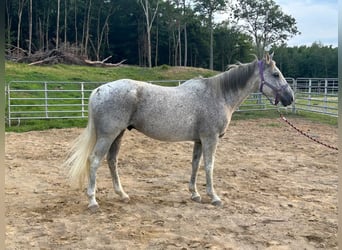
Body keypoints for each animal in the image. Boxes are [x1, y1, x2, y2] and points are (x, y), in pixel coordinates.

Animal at [65, 53, 294, 211]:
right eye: (276, 74)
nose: (290, 98)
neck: (219, 95)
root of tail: (98, 91)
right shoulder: (210, 139)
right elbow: (209, 166)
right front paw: (214, 197)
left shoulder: (199, 140)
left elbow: (195, 165)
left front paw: (195, 194)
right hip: (108, 135)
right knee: (94, 161)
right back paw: (93, 201)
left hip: (118, 135)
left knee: (112, 161)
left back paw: (122, 195)